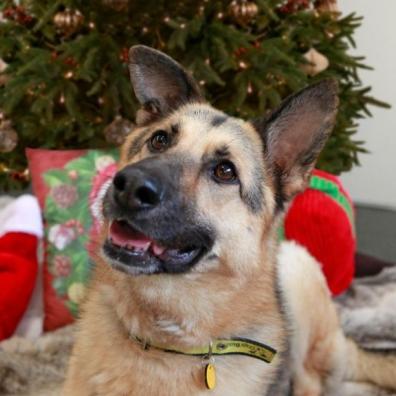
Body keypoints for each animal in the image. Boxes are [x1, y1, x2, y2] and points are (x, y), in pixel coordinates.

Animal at [64, 47, 396, 396]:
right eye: (159, 140)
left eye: (225, 171)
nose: (128, 187)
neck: (162, 338)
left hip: (295, 271)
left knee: (310, 379)